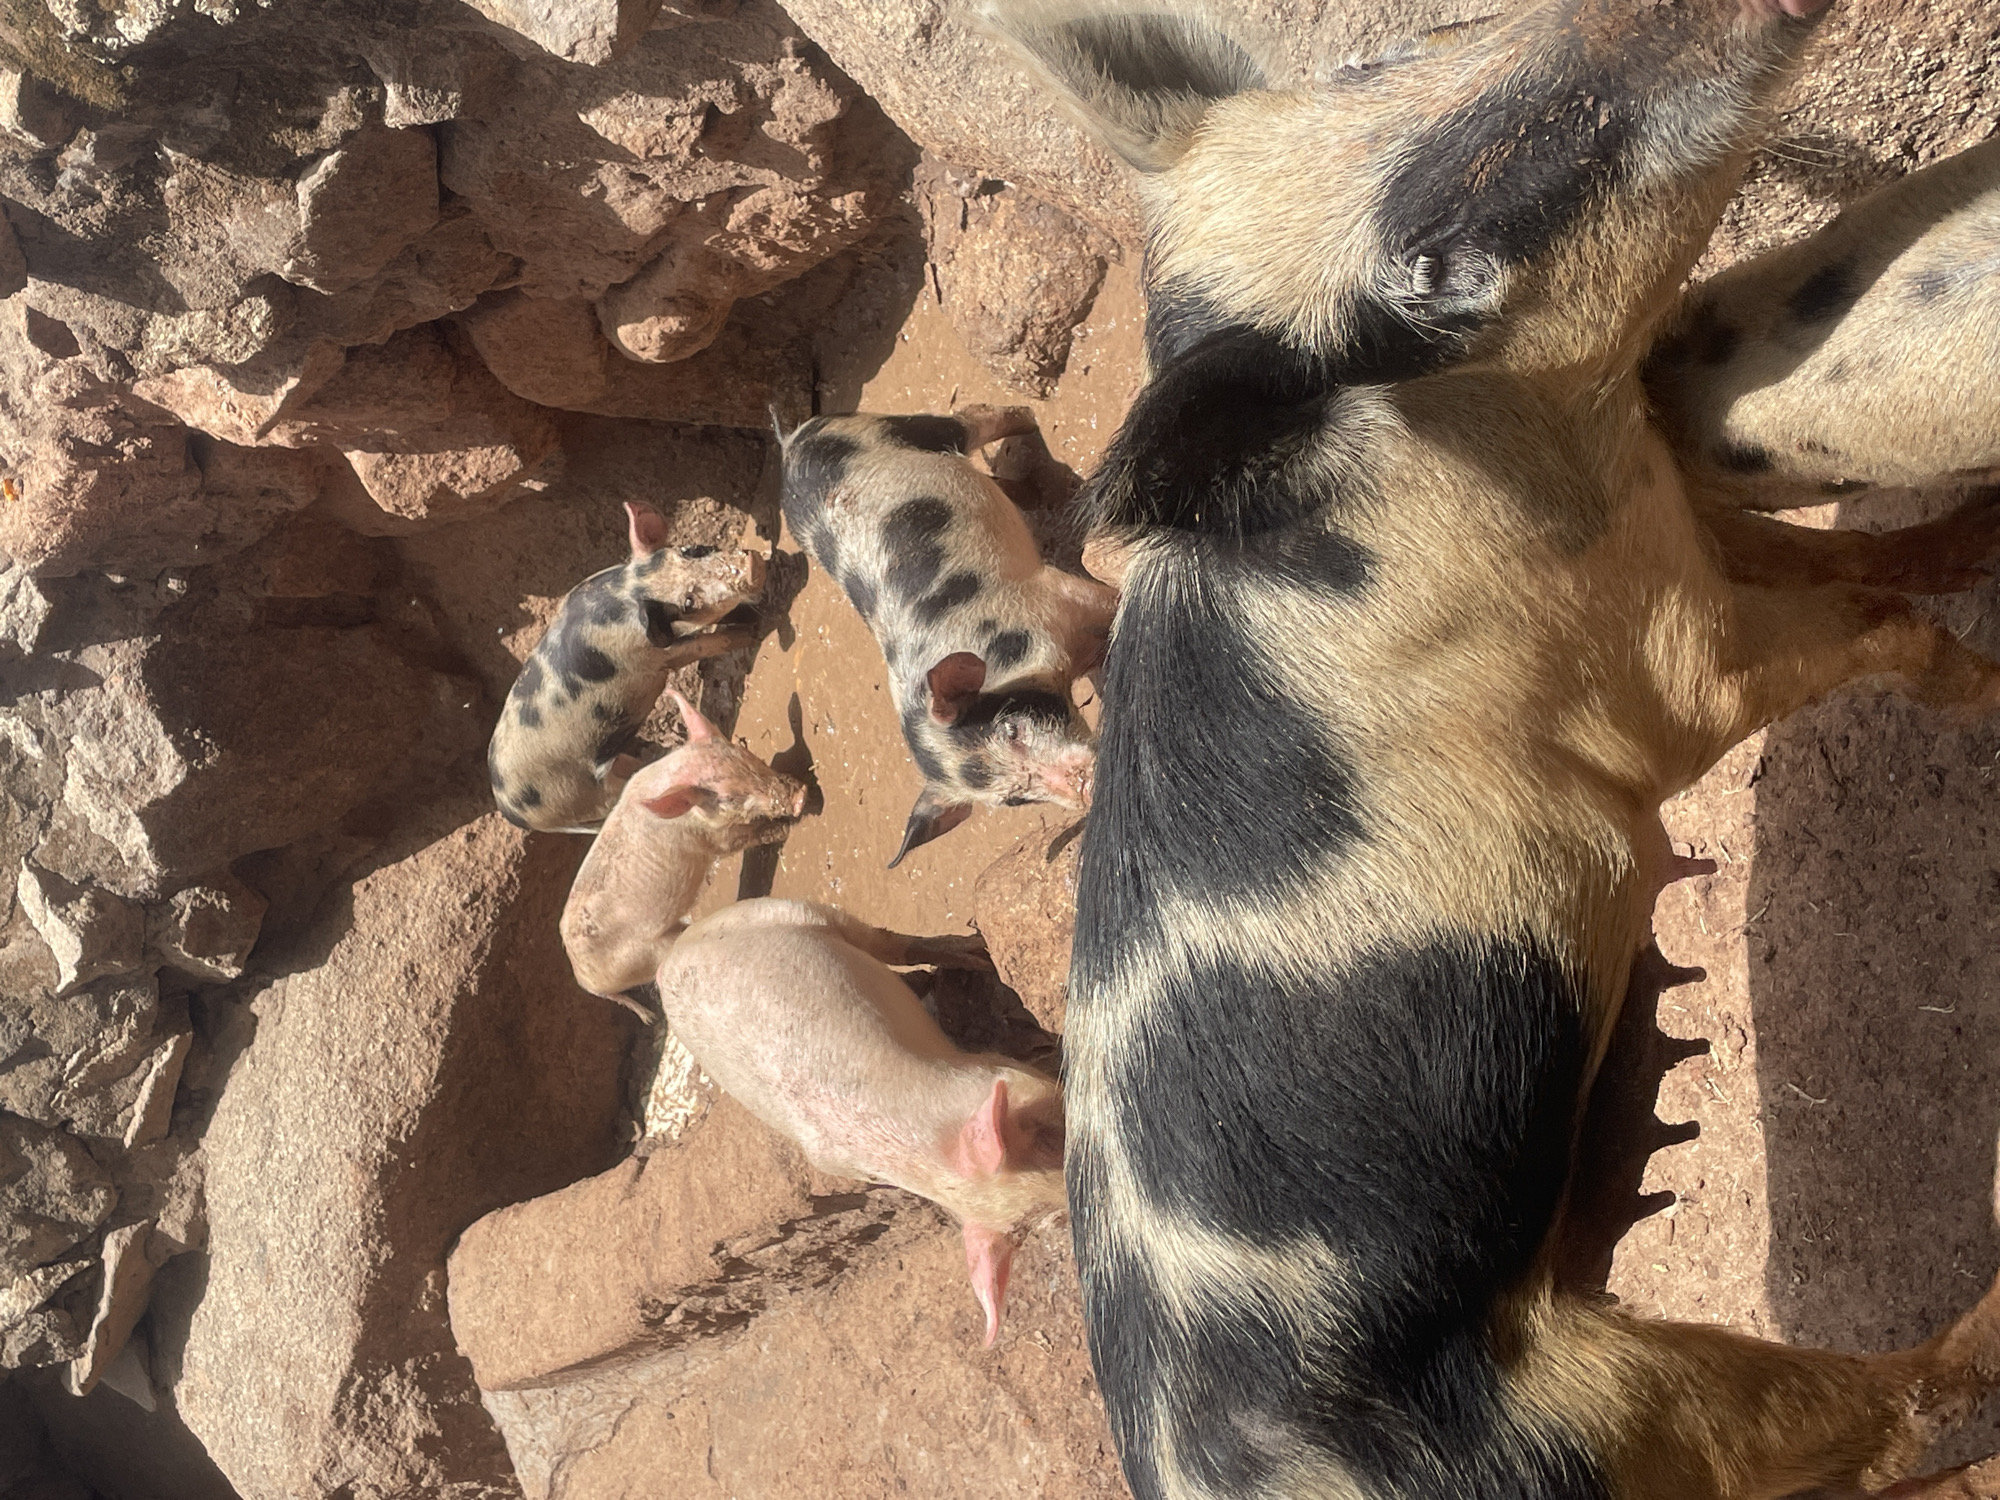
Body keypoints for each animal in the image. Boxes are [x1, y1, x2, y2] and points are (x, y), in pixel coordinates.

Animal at [488, 501, 764, 834]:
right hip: (585, 797)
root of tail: (511, 811)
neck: (628, 591)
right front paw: (751, 633)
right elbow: (700, 645)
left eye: (692, 550)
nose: (752, 566)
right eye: (688, 602)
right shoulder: (658, 655)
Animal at [560, 689, 806, 1009]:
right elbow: (746, 839)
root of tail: (585, 981)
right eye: (729, 797)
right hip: (651, 951)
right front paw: (783, 830)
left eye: (747, 756)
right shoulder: (714, 841)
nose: (801, 796)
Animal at [777, 406, 1117, 865]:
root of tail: (791, 441)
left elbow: (1108, 604)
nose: (1087, 787)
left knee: (976, 417)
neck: (1008, 662)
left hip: (906, 429)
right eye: (1017, 799)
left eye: (1012, 730)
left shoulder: (1052, 595)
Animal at [988, 1, 2000, 1498]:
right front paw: (1983, 674)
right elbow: (1866, 632)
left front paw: (1965, 544)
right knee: (1895, 1423)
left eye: (1396, 52)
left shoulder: (1680, 532)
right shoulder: (1665, 675)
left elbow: (1857, 562)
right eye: (1432, 274)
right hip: (1589, 1416)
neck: (1569, 448)